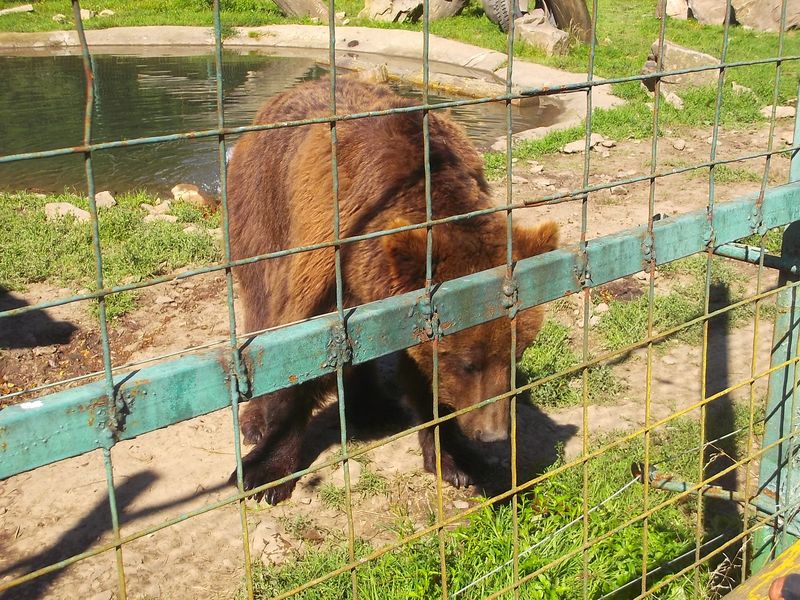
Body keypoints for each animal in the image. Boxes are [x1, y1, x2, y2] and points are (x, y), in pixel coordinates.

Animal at [227, 77, 558, 504]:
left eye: (517, 353)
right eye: (469, 362)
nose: (493, 433)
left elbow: (422, 376)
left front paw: (457, 460)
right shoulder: (330, 254)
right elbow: (302, 352)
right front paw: (264, 472)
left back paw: (374, 407)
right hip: (262, 212)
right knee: (262, 306)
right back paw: (255, 419)